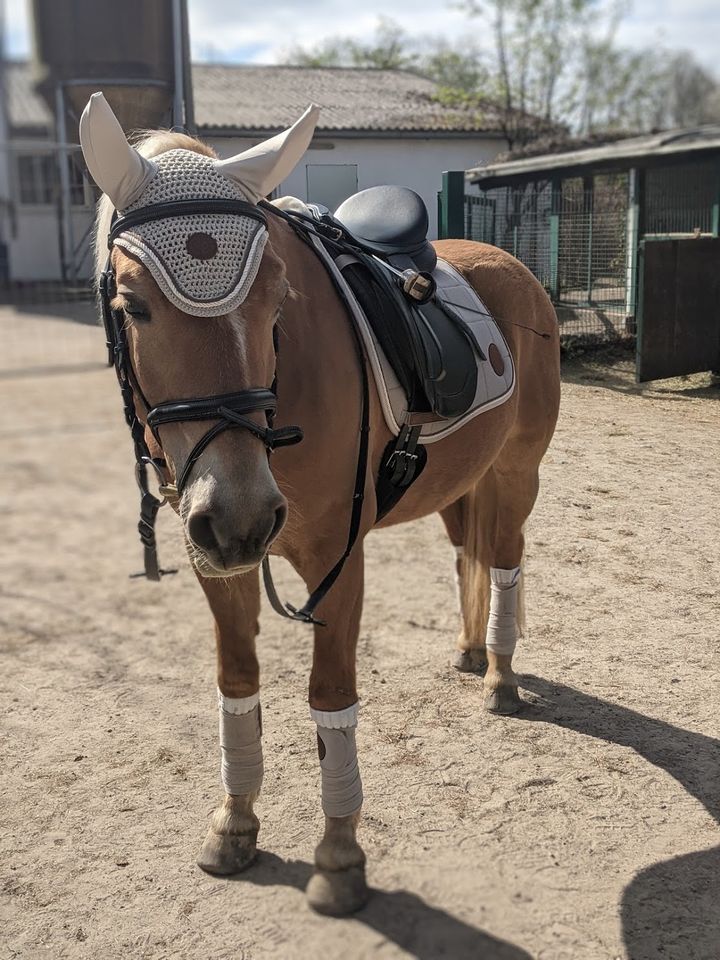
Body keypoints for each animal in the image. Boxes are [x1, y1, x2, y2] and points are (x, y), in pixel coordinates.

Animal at [80, 95, 564, 916]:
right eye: (132, 304)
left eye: (276, 298)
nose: (242, 515)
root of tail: (510, 266)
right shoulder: (216, 560)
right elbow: (237, 686)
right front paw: (235, 825)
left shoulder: (338, 560)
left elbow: (329, 699)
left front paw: (339, 860)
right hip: (459, 484)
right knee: (467, 556)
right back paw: (471, 652)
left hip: (516, 472)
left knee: (503, 562)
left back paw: (500, 676)